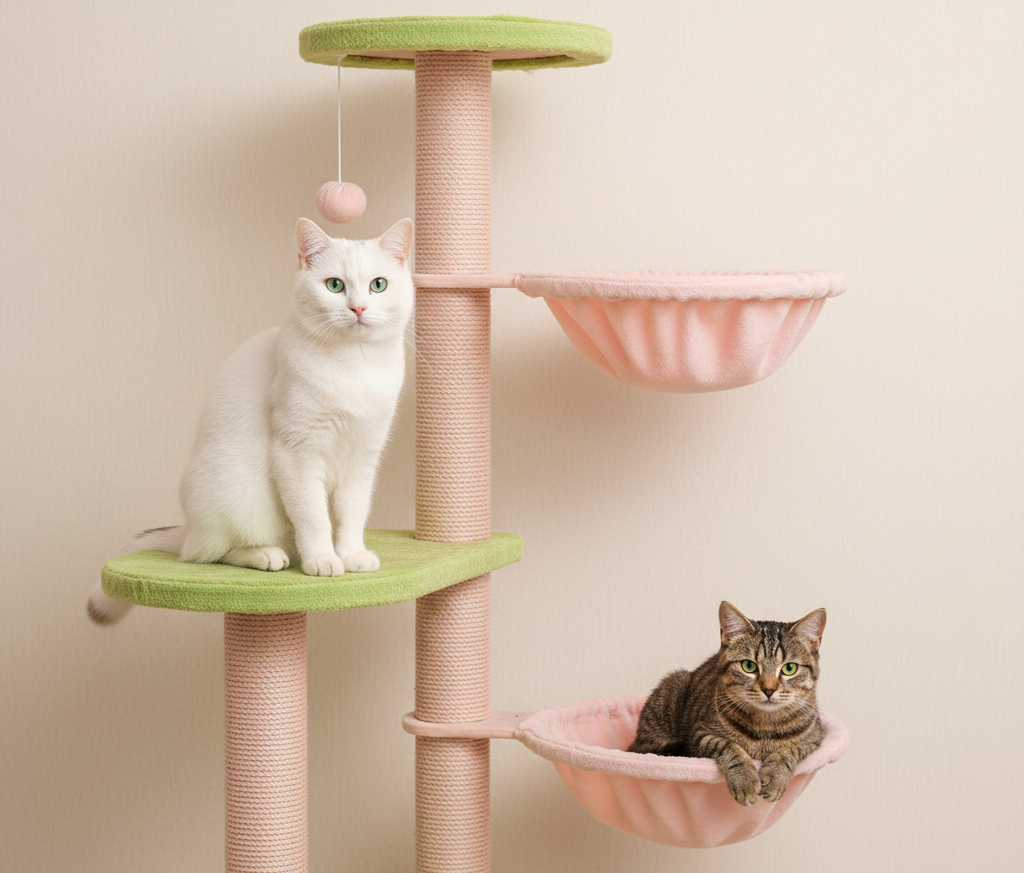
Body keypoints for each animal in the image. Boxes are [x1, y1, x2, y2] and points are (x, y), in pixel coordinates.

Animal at [88, 217, 414, 625]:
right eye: (335, 285)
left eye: (378, 284)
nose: (357, 307)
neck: (355, 365)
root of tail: (189, 527)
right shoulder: (296, 454)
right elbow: (314, 517)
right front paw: (323, 559)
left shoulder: (362, 459)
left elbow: (352, 514)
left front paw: (351, 554)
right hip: (238, 497)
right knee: (207, 554)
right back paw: (267, 555)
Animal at [629, 601, 826, 806]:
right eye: (749, 666)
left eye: (789, 668)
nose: (768, 689)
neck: (765, 727)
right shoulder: (701, 735)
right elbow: (729, 747)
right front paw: (745, 781)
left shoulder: (814, 739)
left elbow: (790, 750)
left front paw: (774, 777)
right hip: (671, 688)